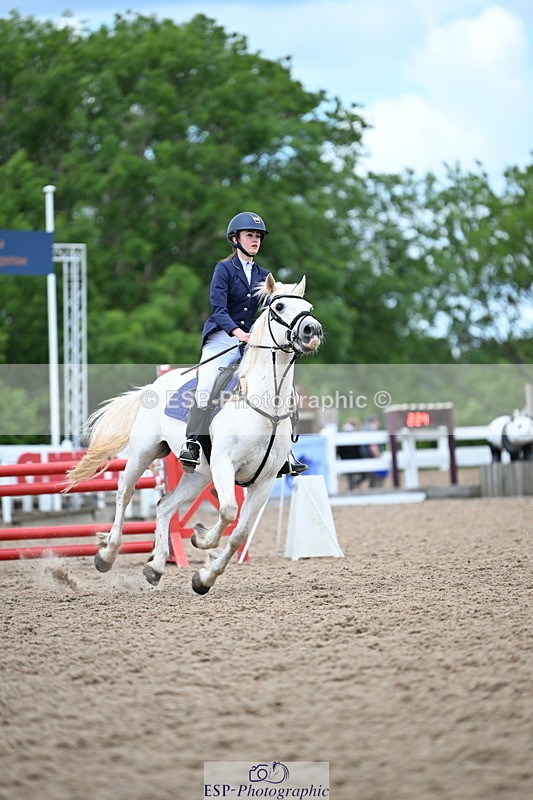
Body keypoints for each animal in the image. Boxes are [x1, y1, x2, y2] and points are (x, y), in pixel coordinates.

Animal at [65, 274, 323, 594]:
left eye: (309, 307)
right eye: (279, 306)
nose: (313, 330)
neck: (264, 405)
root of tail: (154, 384)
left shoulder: (263, 482)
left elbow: (240, 533)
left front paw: (204, 577)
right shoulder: (225, 465)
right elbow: (228, 511)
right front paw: (202, 538)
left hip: (198, 475)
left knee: (164, 506)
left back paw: (155, 567)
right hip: (143, 453)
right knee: (124, 493)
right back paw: (107, 554)